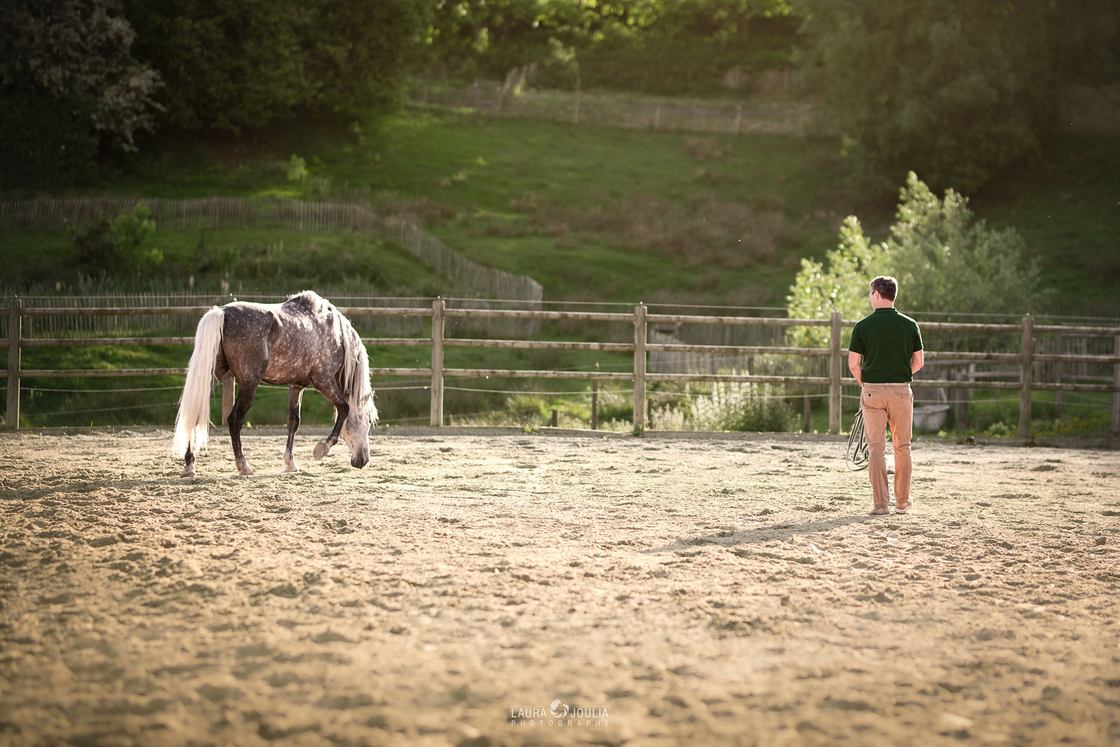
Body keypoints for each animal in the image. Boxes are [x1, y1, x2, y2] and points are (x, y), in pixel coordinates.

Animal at [171, 291, 378, 477]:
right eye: (368, 421)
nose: (363, 461)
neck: (337, 335)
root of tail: (222, 312)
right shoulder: (323, 381)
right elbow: (344, 408)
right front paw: (321, 449)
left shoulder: (296, 386)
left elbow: (293, 421)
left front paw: (290, 463)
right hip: (249, 384)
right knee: (234, 420)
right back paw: (243, 466)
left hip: (213, 376)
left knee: (194, 415)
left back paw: (190, 465)